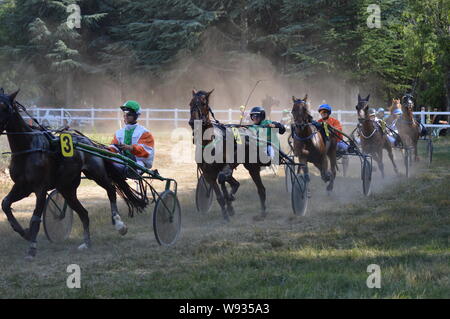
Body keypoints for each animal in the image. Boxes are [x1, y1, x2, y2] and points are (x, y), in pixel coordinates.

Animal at [0, 89, 147, 260]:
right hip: (67, 188)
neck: (28, 148)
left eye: (4, 106)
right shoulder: (22, 186)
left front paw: (31, 248)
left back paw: (118, 223)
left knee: (110, 190)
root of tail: (90, 142)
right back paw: (87, 242)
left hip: (96, 173)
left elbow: (35, 218)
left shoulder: (40, 189)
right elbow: (5, 204)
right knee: (84, 213)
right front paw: (24, 232)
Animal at [188, 89, 268, 220]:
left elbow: (223, 181)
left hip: (252, 167)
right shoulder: (208, 174)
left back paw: (262, 212)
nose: (192, 122)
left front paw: (229, 204)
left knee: (260, 188)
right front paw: (226, 213)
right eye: (190, 103)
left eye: (203, 103)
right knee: (233, 182)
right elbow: (220, 195)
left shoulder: (225, 166)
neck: (209, 142)